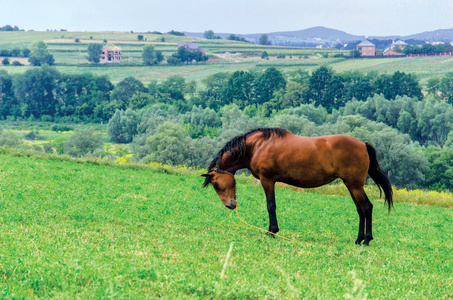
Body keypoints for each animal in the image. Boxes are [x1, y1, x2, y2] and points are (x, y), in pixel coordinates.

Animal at [201, 127, 392, 245]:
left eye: (216, 184)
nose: (230, 205)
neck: (258, 146)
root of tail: (363, 144)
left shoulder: (267, 180)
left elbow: (271, 206)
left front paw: (271, 231)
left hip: (355, 185)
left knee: (367, 207)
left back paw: (366, 240)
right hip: (350, 184)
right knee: (360, 210)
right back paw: (358, 239)